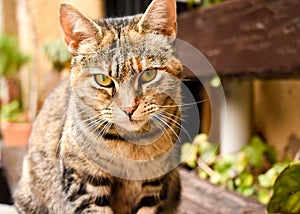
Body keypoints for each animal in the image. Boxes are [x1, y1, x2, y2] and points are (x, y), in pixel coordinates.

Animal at [14, 0, 183, 213]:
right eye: (103, 80)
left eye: (148, 75)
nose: (129, 109)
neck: (132, 145)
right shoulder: (83, 181)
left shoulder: (156, 184)